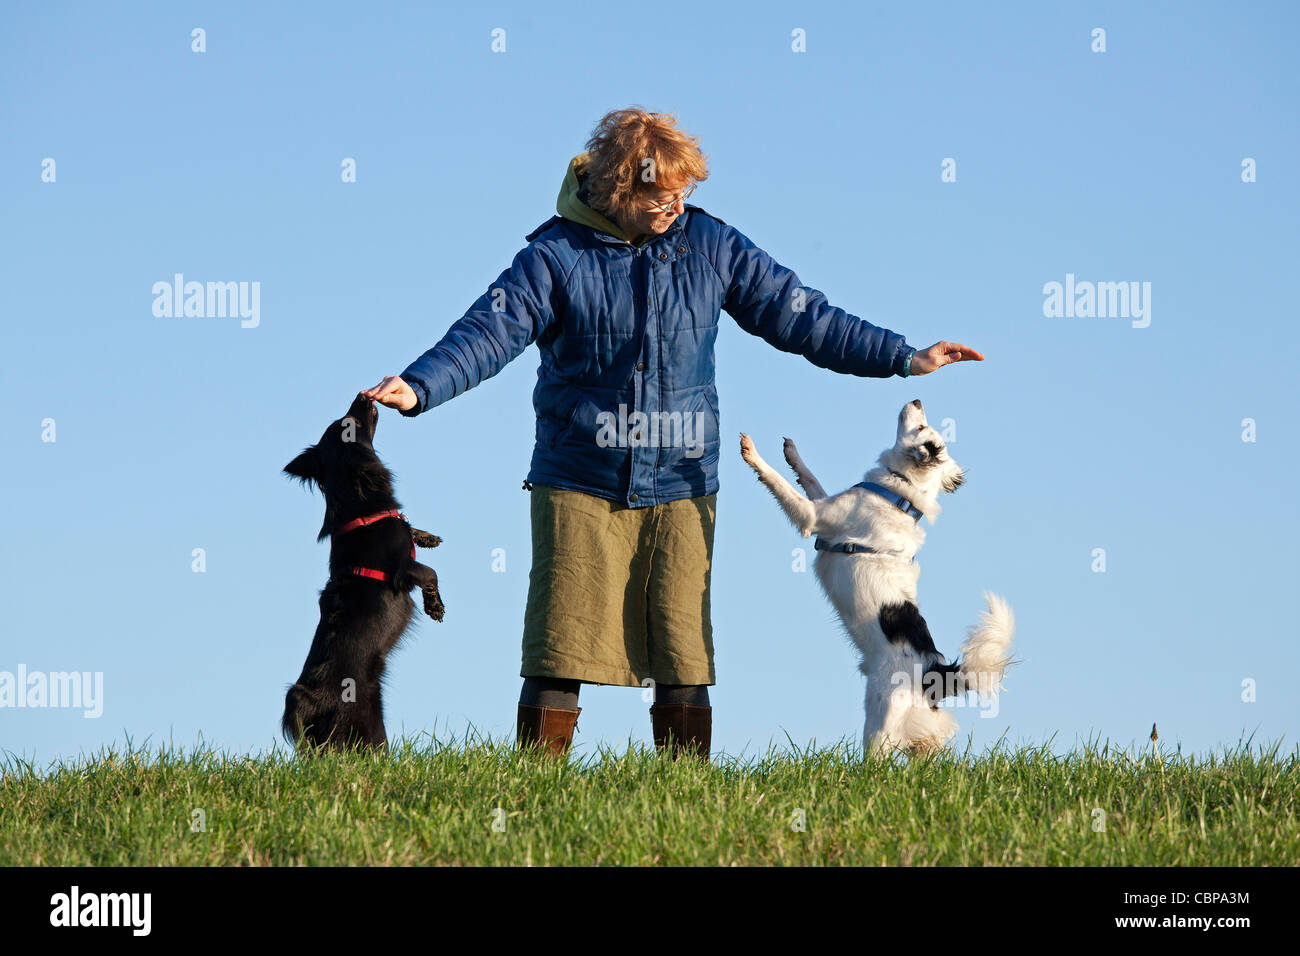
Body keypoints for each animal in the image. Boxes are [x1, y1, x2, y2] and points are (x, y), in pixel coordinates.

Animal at [279, 392, 441, 749]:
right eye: (348, 423)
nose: (363, 394)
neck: (358, 501)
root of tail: (307, 699)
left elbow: (413, 531)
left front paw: (427, 537)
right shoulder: (401, 572)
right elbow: (429, 572)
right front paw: (435, 606)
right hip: (368, 724)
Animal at [743, 400, 1013, 759]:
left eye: (922, 428)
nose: (916, 400)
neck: (898, 495)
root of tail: (934, 673)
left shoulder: (811, 516)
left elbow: (778, 482)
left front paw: (752, 453)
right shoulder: (823, 505)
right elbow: (809, 477)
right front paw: (792, 453)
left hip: (879, 725)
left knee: (876, 762)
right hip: (923, 738)